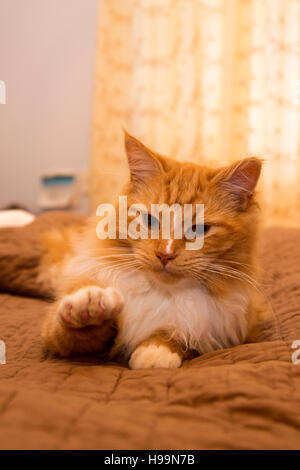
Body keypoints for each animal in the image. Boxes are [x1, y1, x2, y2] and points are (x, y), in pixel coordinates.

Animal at [41, 131, 266, 368]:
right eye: (150, 220)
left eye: (199, 229)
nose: (165, 255)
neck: (163, 294)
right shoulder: (61, 335)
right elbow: (77, 329)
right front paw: (90, 305)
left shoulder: (232, 328)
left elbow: (181, 335)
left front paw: (156, 350)